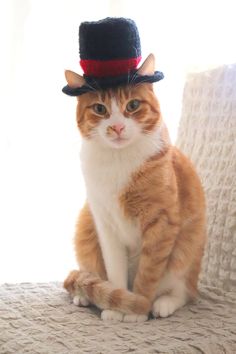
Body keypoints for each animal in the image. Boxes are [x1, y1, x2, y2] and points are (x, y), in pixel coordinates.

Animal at [63, 54, 206, 322]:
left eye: (133, 105)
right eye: (100, 109)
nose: (118, 127)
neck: (118, 161)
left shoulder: (161, 223)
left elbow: (148, 272)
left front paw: (138, 309)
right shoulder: (105, 225)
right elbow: (115, 271)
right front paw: (116, 307)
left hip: (187, 251)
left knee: (184, 292)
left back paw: (164, 303)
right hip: (85, 230)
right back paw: (84, 296)